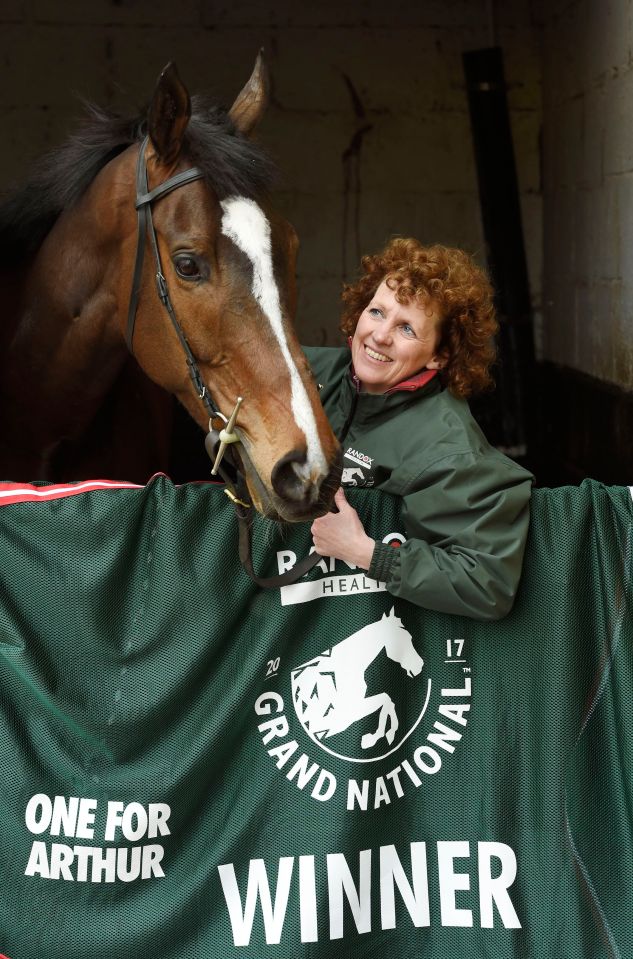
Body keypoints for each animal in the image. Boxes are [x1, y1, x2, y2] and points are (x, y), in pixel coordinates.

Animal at [292, 612, 424, 752]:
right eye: (403, 638)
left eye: (410, 637)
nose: (419, 665)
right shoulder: (344, 716)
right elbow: (385, 699)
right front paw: (377, 736)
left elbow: (387, 700)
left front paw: (385, 734)